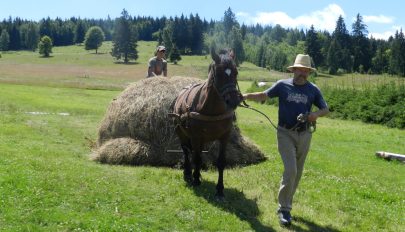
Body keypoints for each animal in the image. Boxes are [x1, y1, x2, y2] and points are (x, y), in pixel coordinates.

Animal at [170, 48, 241, 198]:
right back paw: (188, 173)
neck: (212, 109)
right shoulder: (196, 137)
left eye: (236, 72)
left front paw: (220, 189)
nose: (233, 101)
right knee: (186, 151)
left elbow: (221, 162)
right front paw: (196, 179)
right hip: (182, 133)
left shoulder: (224, 137)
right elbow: (196, 158)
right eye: (218, 74)